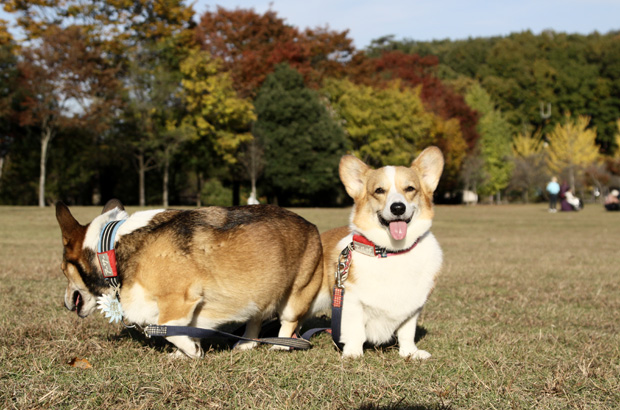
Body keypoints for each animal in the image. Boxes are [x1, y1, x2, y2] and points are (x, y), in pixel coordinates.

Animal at [57, 200, 324, 358]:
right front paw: (183, 352)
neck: (112, 249)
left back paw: (281, 344)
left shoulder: (178, 300)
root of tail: (312, 226)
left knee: (288, 321)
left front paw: (192, 351)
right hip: (258, 292)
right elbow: (185, 330)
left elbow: (169, 330)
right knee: (255, 319)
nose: (65, 304)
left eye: (62, 269)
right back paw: (246, 343)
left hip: (296, 293)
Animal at [318, 147, 444, 358]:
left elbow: (407, 333)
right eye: (379, 190)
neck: (391, 252)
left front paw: (410, 353)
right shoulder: (351, 301)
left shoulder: (413, 308)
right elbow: (356, 331)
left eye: (410, 189)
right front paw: (353, 353)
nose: (398, 208)